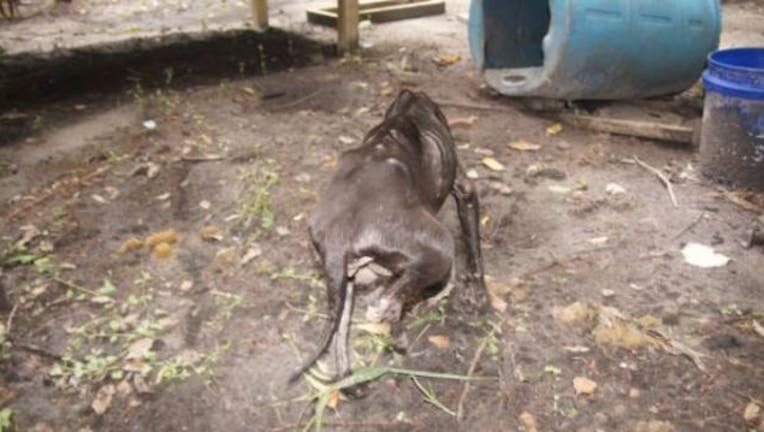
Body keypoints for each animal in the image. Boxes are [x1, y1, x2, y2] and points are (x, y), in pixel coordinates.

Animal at [290, 89, 486, 380]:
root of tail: (339, 234)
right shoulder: (465, 191)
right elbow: (475, 257)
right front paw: (479, 297)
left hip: (344, 287)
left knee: (341, 345)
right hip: (440, 248)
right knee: (391, 302)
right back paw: (399, 336)